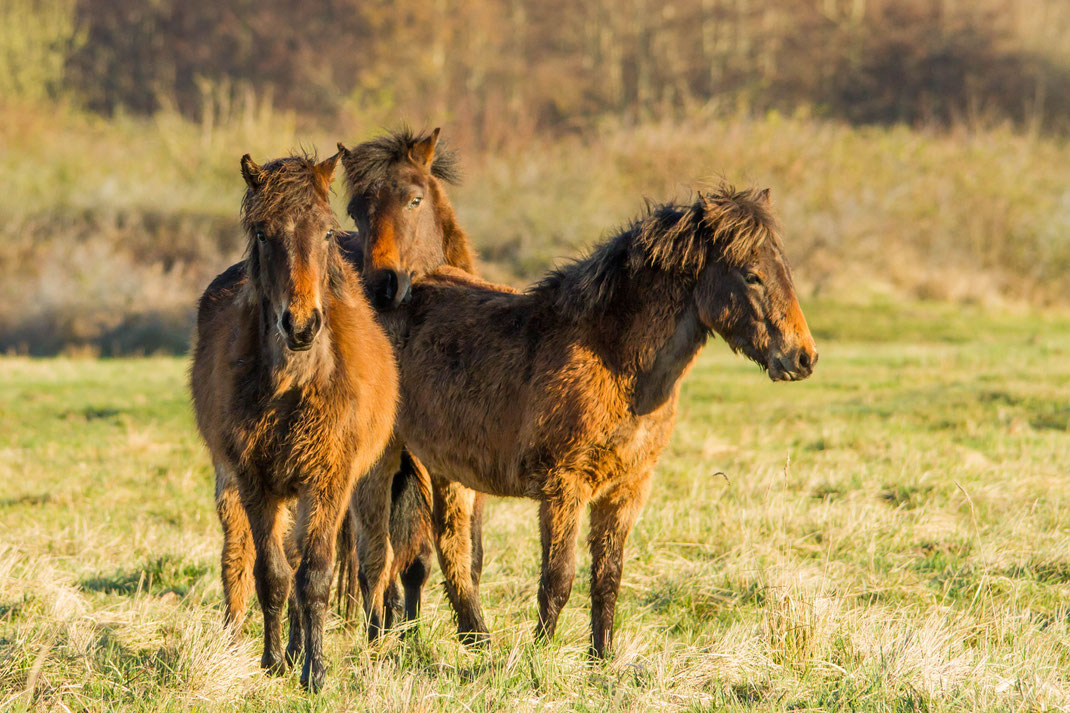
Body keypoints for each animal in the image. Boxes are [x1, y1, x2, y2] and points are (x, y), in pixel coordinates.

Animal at [190, 151, 398, 690]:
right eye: (263, 233)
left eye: (326, 232)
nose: (301, 325)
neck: (293, 385)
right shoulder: (255, 481)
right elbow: (273, 574)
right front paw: (274, 662)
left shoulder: (327, 481)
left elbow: (315, 576)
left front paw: (315, 671)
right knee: (250, 559)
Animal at [356, 185, 818, 657]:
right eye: (751, 275)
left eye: (785, 271)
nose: (803, 357)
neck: (612, 359)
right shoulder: (564, 488)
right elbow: (558, 579)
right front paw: (539, 658)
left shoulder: (627, 489)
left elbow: (607, 580)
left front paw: (602, 659)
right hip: (383, 462)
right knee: (376, 556)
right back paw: (379, 645)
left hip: (444, 468)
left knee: (448, 550)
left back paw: (470, 642)